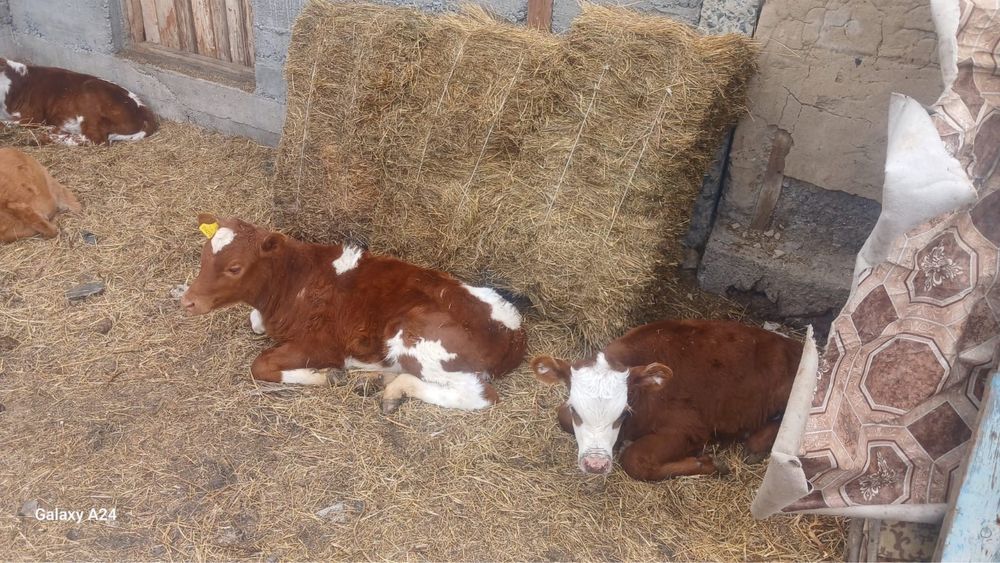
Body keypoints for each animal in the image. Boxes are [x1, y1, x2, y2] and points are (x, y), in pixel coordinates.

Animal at [179, 214, 528, 413]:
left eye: (234, 267)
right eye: (203, 256)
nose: (188, 301)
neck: (296, 280)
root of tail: (515, 331)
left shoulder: (322, 344)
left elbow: (260, 365)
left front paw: (325, 376)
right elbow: (255, 323)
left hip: (416, 338)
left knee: (480, 395)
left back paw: (394, 389)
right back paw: (380, 379)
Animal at [531, 319, 803, 480]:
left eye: (622, 414)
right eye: (576, 411)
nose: (595, 464)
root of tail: (796, 345)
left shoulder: (689, 428)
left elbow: (634, 460)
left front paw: (708, 463)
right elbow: (561, 415)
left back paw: (756, 444)